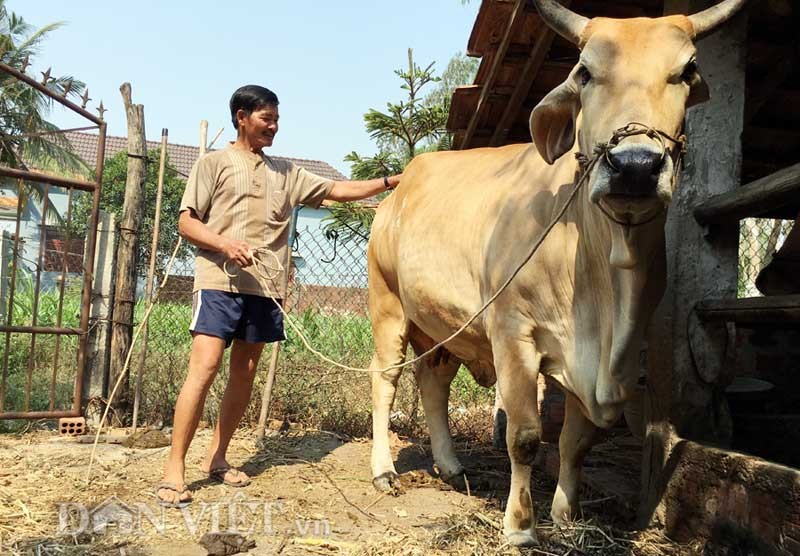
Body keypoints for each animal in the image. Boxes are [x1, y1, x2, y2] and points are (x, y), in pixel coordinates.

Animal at [366, 0, 748, 548]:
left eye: (687, 70)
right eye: (584, 71)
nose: (635, 165)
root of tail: (399, 188)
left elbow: (577, 441)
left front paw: (567, 515)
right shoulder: (513, 335)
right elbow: (525, 437)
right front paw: (520, 526)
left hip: (442, 326)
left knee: (434, 383)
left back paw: (450, 466)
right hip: (388, 307)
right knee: (386, 380)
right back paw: (383, 470)